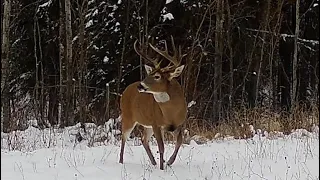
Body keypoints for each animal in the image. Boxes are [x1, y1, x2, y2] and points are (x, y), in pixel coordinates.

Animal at [119, 37, 188, 170]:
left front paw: (169, 162)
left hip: (147, 125)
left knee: (143, 139)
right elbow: (161, 147)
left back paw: (153, 162)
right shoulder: (156, 123)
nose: (140, 86)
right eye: (148, 74)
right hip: (128, 116)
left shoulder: (178, 124)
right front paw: (162, 167)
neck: (171, 113)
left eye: (157, 76)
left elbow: (179, 142)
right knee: (124, 137)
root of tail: (125, 90)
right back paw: (121, 162)